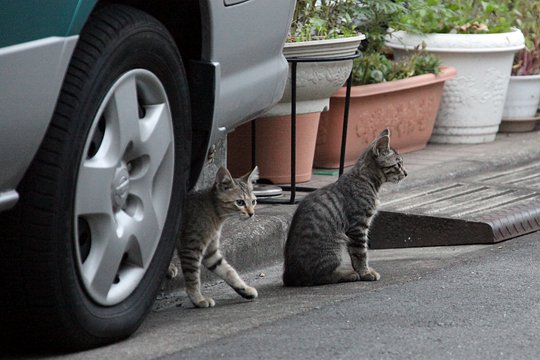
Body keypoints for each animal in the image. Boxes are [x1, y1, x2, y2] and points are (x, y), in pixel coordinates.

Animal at [170, 166, 260, 306]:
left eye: (253, 201)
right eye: (240, 202)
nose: (251, 214)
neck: (213, 211)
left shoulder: (210, 252)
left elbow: (228, 271)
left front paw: (244, 289)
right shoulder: (190, 248)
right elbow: (193, 277)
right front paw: (198, 299)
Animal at [282, 129, 404, 286]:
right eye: (398, 164)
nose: (405, 173)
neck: (365, 180)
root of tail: (288, 275)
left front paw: (364, 271)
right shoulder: (358, 226)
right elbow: (360, 253)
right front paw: (365, 273)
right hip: (335, 244)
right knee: (322, 276)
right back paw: (347, 274)